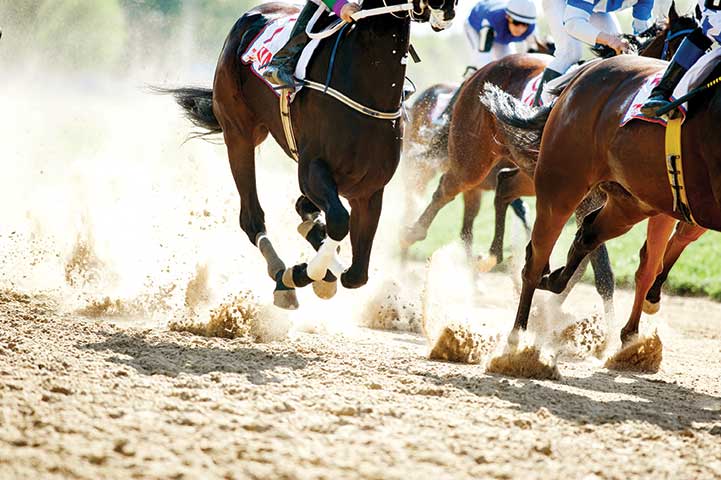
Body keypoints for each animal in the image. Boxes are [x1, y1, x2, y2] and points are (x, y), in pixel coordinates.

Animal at [163, 0, 456, 308]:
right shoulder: (312, 168)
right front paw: (302, 273)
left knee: (304, 210)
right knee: (252, 218)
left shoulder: (370, 190)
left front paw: (321, 270)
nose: (446, 9)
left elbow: (357, 274)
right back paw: (282, 274)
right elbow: (339, 222)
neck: (368, 89)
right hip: (239, 134)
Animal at [480, 51, 720, 344]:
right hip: (561, 186)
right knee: (537, 256)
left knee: (587, 234)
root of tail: (587, 70)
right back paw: (518, 337)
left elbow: (652, 259)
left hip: (629, 203)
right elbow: (649, 261)